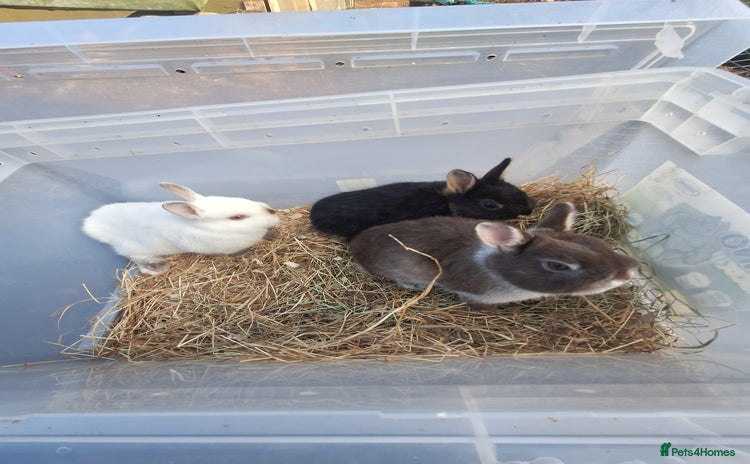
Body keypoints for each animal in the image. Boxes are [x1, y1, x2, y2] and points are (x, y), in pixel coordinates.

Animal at [83, 182, 279, 275]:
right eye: (237, 217)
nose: (273, 212)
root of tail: (91, 224)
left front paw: (273, 235)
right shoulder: (228, 249)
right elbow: (240, 253)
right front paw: (251, 255)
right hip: (134, 249)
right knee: (135, 259)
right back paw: (158, 267)